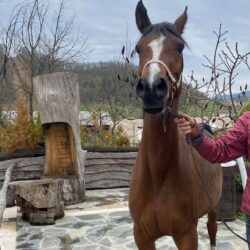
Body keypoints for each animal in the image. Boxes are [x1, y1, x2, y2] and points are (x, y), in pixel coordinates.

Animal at [129, 0, 223, 249]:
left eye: (179, 48)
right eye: (138, 48)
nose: (152, 88)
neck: (158, 176)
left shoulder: (187, 234)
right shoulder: (141, 235)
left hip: (214, 207)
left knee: (212, 231)